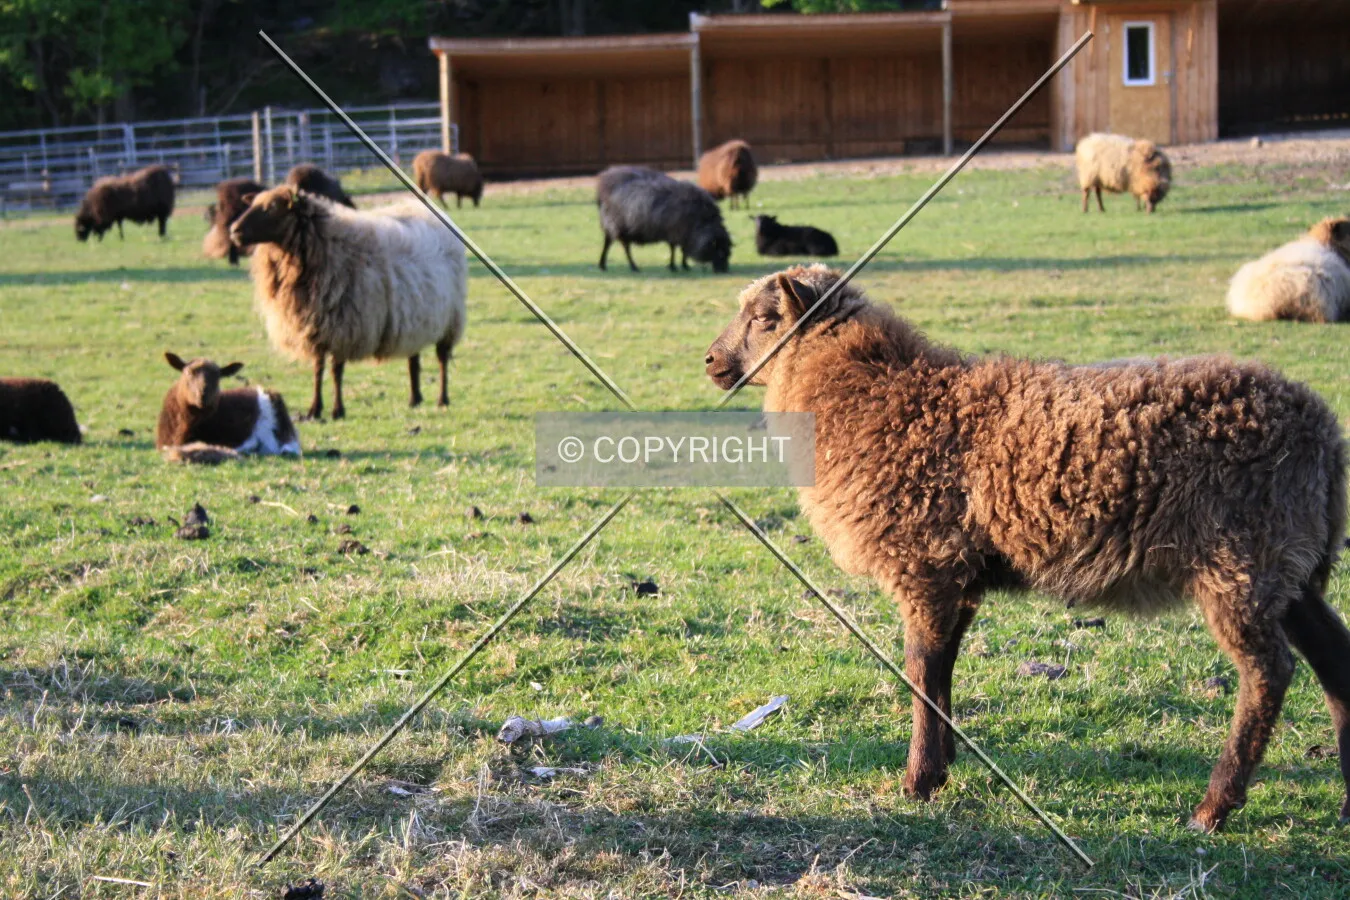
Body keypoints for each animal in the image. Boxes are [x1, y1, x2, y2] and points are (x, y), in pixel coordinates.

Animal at [230, 185, 468, 420]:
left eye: (272, 207)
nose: (234, 231)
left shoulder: (344, 327)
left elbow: (336, 371)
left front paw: (337, 410)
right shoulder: (316, 327)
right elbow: (318, 369)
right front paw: (315, 409)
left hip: (451, 317)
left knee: (442, 359)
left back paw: (442, 399)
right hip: (415, 316)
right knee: (414, 358)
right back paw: (415, 399)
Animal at [596, 166, 731, 274]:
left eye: (728, 253)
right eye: (719, 252)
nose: (723, 271)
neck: (702, 221)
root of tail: (603, 183)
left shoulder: (684, 234)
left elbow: (682, 251)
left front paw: (684, 265)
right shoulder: (676, 232)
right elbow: (674, 249)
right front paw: (674, 266)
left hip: (611, 225)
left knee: (607, 243)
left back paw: (602, 265)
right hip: (619, 226)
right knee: (625, 248)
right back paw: (633, 267)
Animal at [705, 263, 1349, 833]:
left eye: (765, 317)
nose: (710, 360)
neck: (879, 393)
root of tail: (1322, 432)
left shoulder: (927, 562)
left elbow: (920, 667)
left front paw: (918, 781)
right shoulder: (958, 576)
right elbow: (943, 665)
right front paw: (942, 765)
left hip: (1240, 561)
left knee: (1268, 673)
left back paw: (1212, 809)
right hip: (1290, 565)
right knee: (1334, 658)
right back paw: (1343, 802)